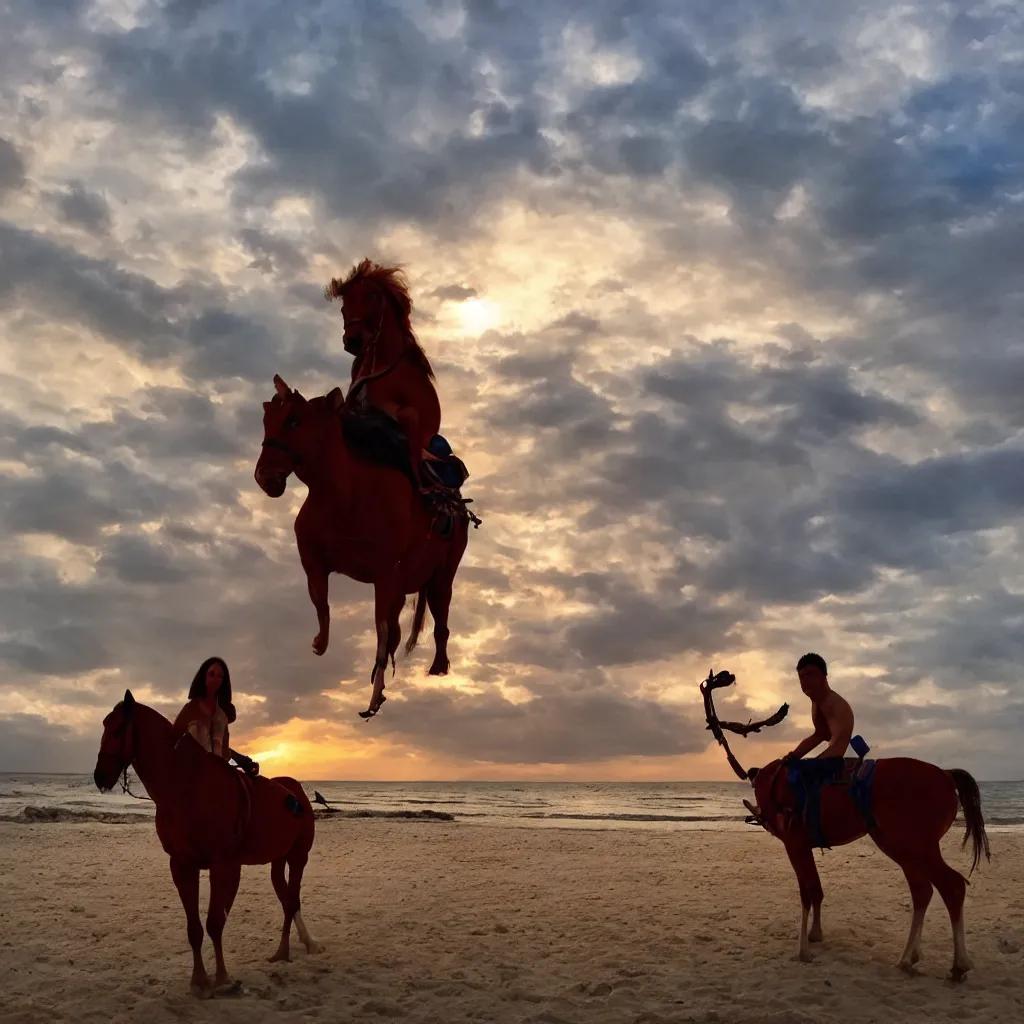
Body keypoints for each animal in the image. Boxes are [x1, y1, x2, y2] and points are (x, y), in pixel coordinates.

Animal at [95, 692, 321, 995]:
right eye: (104, 725)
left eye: (119, 729)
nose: (99, 776)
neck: (187, 789)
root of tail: (296, 790)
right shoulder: (181, 866)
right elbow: (194, 929)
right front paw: (199, 980)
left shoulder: (221, 865)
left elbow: (215, 922)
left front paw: (222, 978)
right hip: (277, 860)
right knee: (287, 901)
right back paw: (282, 952)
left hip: (298, 858)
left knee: (292, 900)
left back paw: (293, 948)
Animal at [253, 372, 468, 716]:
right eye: (266, 418)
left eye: (294, 420)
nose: (265, 477)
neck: (346, 496)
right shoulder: (314, 561)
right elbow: (322, 603)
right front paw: (319, 642)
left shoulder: (385, 573)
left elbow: (380, 629)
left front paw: (375, 694)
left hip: (441, 576)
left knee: (439, 618)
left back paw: (438, 665)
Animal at [700, 671, 987, 983]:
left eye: (715, 681)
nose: (728, 676)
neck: (770, 780)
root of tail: (946, 775)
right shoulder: (804, 845)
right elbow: (816, 890)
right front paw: (815, 936)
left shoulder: (794, 843)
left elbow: (807, 891)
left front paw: (803, 951)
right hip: (897, 844)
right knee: (922, 890)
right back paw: (907, 959)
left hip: (917, 845)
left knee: (952, 886)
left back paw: (958, 965)